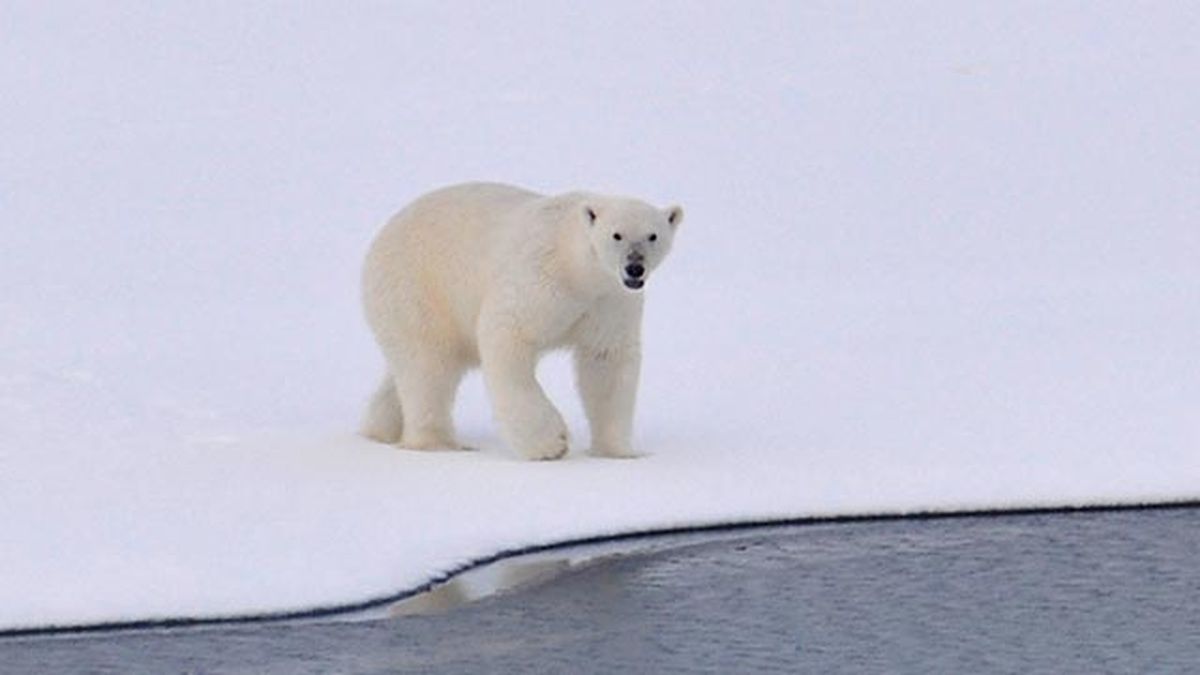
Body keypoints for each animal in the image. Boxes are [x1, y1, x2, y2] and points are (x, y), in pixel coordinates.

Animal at [360, 182, 682, 460]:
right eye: (616, 235)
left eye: (653, 235)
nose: (635, 267)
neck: (577, 269)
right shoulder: (539, 277)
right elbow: (507, 333)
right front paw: (551, 443)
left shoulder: (609, 301)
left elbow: (606, 361)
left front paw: (618, 452)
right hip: (418, 288)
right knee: (427, 366)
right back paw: (438, 443)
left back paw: (380, 428)